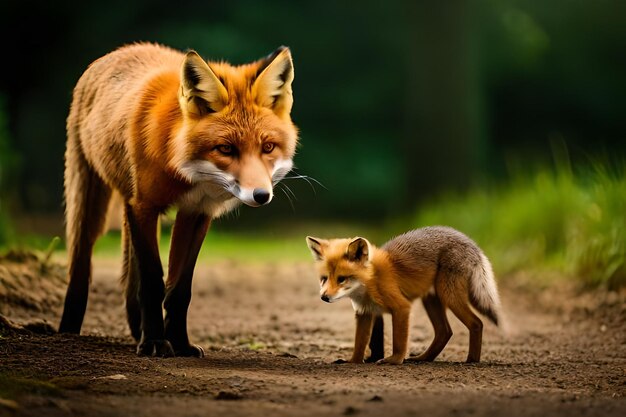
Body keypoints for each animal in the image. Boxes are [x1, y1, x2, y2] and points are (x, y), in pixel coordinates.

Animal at [59, 42, 296, 356]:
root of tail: (121, 50)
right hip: (89, 198)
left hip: (127, 204)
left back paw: (136, 329)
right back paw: (69, 330)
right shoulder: (144, 206)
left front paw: (179, 342)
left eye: (268, 147)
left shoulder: (196, 213)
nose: (261, 195)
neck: (189, 173)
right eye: (226, 148)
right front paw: (155, 342)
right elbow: (152, 281)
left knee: (129, 278)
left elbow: (179, 289)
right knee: (80, 262)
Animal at [304, 226, 500, 362]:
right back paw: (424, 359)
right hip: (431, 301)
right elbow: (360, 343)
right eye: (324, 279)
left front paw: (395, 360)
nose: (324, 297)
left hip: (449, 297)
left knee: (477, 323)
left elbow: (398, 340)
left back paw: (471, 360)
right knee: (445, 332)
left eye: (342, 279)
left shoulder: (401, 307)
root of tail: (470, 242)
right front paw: (353, 362)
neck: (371, 282)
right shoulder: (365, 313)